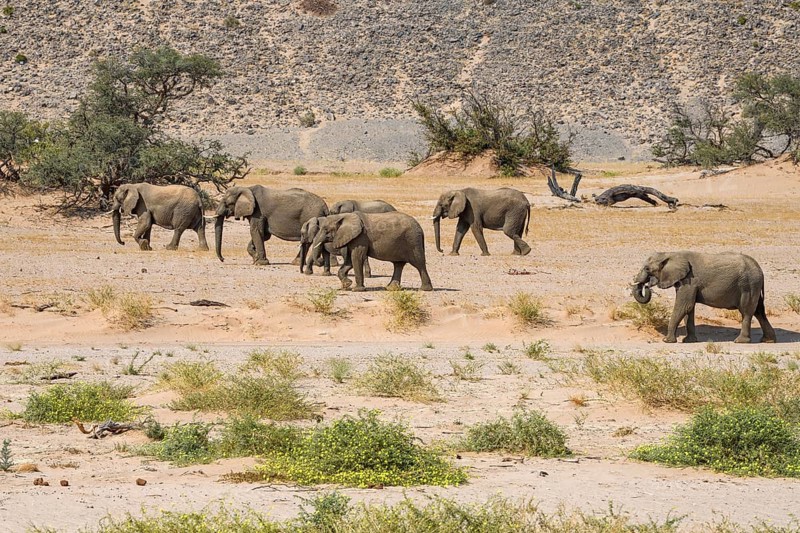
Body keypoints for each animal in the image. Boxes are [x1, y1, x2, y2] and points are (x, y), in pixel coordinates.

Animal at [632, 251, 776, 344]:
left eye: (647, 268)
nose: (647, 286)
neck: (670, 253)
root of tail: (760, 269)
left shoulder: (690, 281)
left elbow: (684, 306)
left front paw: (667, 341)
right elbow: (689, 309)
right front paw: (689, 341)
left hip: (748, 286)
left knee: (747, 312)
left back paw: (740, 341)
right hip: (754, 286)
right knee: (759, 312)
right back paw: (768, 340)